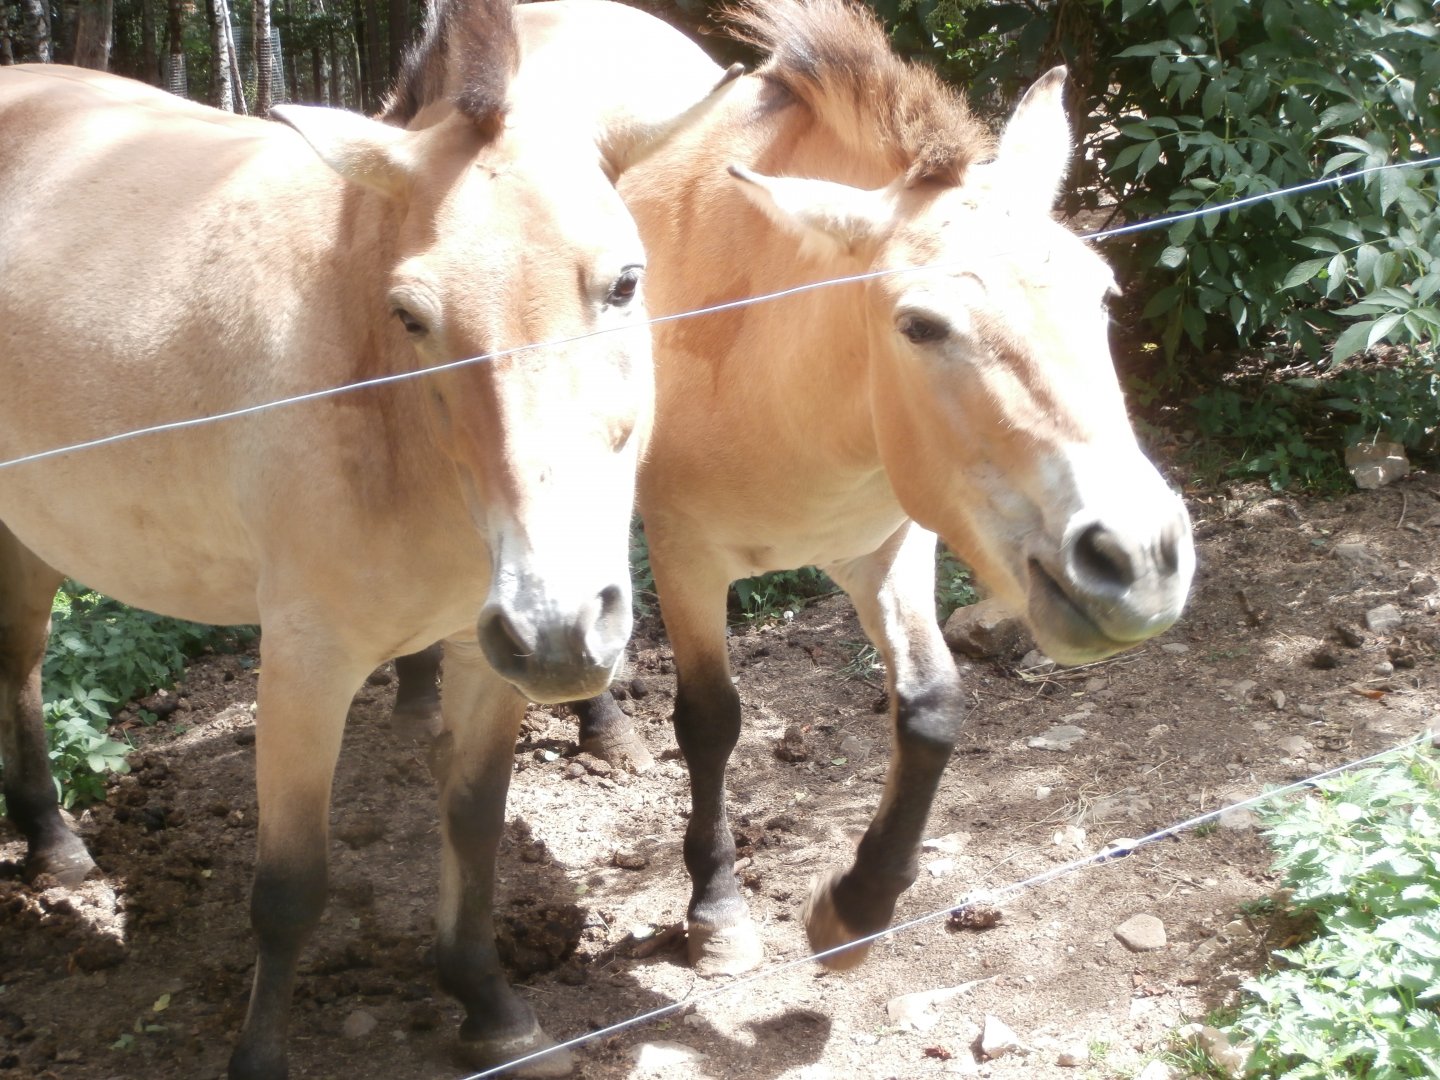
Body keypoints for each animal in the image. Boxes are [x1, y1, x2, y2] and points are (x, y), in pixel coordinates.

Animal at [0, 0, 733, 1074]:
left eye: (627, 283)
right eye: (412, 312)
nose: (562, 628)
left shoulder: (483, 654)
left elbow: (472, 826)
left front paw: (490, 1007)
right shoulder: (305, 662)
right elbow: (289, 887)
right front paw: (261, 1059)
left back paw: (52, 848)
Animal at [497, 0, 1196, 992]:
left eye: (1101, 293)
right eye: (922, 325)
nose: (1136, 559)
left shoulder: (890, 545)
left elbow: (933, 706)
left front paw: (854, 911)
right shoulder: (685, 556)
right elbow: (710, 722)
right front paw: (717, 914)